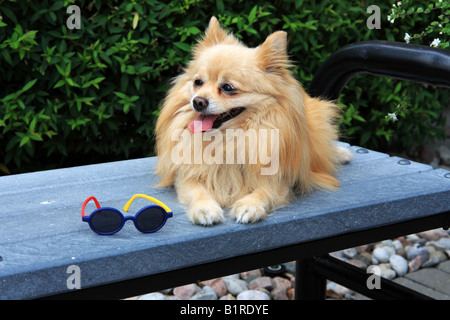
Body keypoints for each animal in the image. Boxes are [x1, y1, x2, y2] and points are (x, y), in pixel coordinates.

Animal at [155, 16, 352, 225]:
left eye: (228, 88)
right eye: (198, 82)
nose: (198, 101)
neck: (228, 139)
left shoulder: (278, 179)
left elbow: (264, 191)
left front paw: (249, 206)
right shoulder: (186, 176)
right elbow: (197, 191)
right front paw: (205, 209)